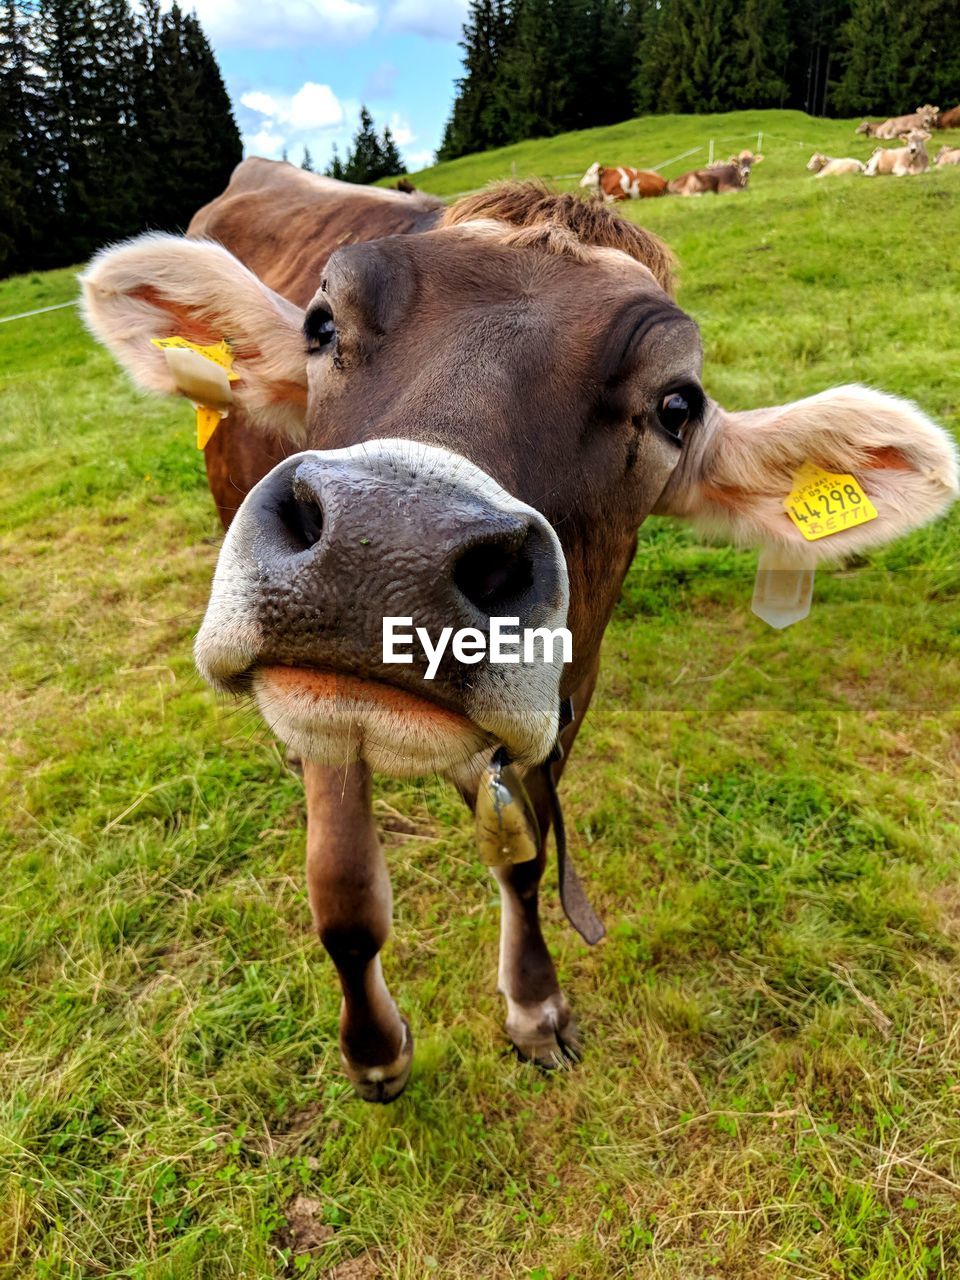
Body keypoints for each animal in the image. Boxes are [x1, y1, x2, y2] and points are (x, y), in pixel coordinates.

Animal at [82, 160, 960, 1100]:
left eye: (676, 405)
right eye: (322, 324)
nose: (385, 544)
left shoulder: (563, 701)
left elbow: (526, 858)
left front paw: (536, 1008)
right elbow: (346, 896)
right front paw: (376, 1053)